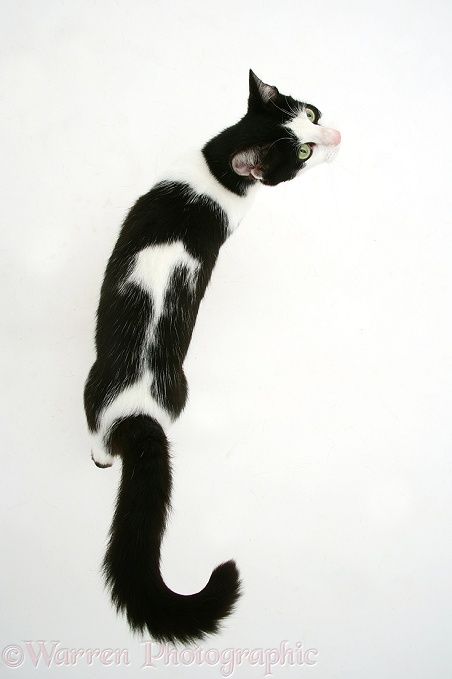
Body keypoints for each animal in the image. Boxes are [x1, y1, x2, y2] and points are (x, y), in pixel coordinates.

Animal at [84, 70, 340, 648]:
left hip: (91, 389)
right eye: (306, 151)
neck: (217, 164)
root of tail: (137, 412)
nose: (338, 135)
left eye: (312, 116)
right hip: (178, 390)